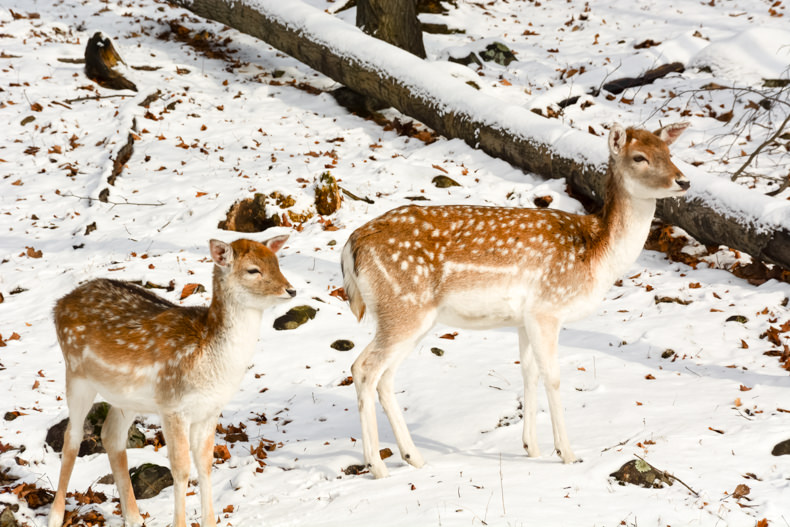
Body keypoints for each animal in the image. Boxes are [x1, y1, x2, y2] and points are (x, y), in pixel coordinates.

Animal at [49, 238, 296, 527]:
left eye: (277, 262)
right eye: (253, 270)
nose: (290, 290)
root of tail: (58, 304)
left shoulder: (209, 410)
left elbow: (205, 463)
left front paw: (210, 521)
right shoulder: (172, 406)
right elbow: (181, 468)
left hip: (126, 397)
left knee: (111, 435)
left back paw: (134, 518)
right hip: (76, 374)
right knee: (72, 437)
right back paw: (55, 516)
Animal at [344, 124, 688, 478]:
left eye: (669, 152)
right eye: (640, 157)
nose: (683, 181)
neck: (598, 256)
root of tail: (351, 245)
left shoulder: (524, 319)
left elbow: (529, 373)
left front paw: (531, 450)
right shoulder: (547, 308)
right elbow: (553, 377)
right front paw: (567, 454)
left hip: (405, 315)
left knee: (376, 373)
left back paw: (413, 457)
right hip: (405, 306)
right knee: (367, 370)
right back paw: (377, 466)